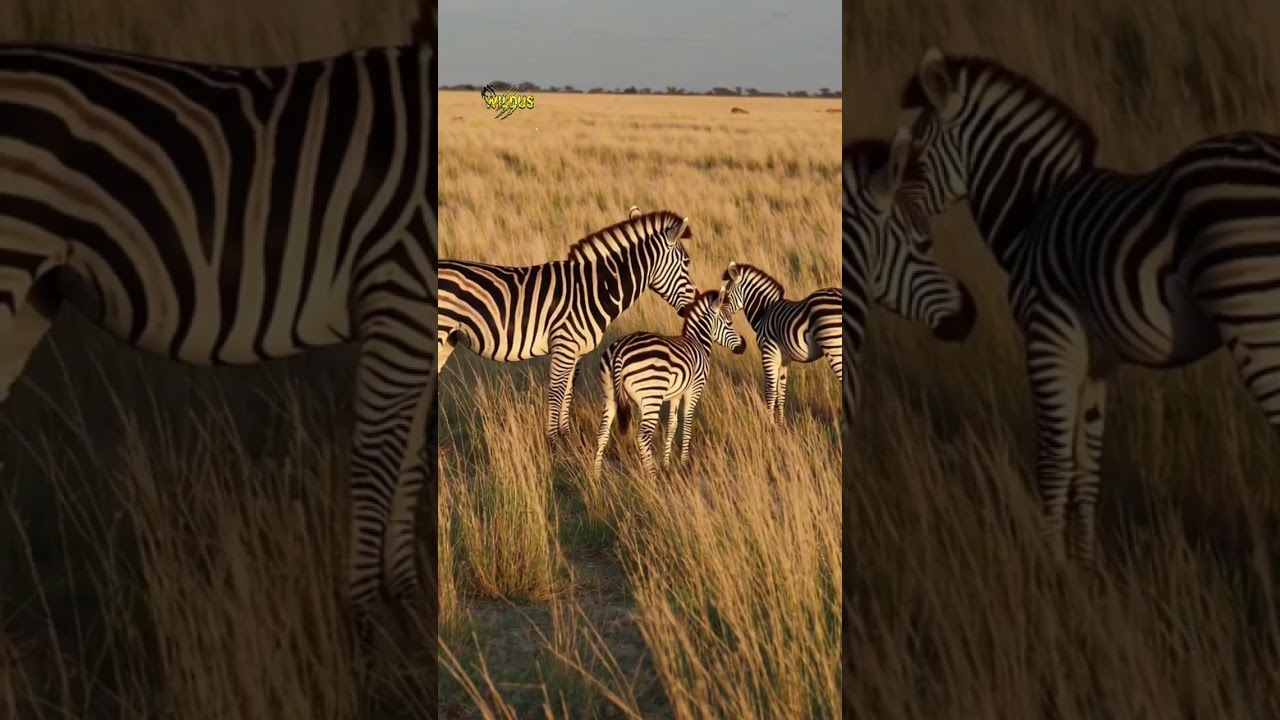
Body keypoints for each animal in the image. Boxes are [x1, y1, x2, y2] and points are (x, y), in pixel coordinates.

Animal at [0, 21, 437, 654]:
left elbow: (409, 464)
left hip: (31, 297)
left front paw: (406, 611)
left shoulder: (418, 318)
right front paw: (367, 632)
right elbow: (377, 464)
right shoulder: (399, 293)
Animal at [439, 209, 697, 442]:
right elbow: (556, 393)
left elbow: (568, 393)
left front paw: (567, 441)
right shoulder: (564, 346)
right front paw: (553, 445)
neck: (595, 290)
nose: (694, 303)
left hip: (448, 340)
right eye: (686, 262)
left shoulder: (576, 351)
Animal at [592, 277, 746, 480]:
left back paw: (596, 475)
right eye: (728, 322)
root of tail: (619, 351)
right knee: (643, 437)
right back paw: (653, 477)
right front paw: (684, 462)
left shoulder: (676, 394)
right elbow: (687, 423)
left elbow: (673, 425)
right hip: (651, 396)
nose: (743, 346)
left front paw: (666, 463)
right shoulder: (693, 389)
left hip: (610, 394)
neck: (697, 341)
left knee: (602, 433)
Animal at [718, 261, 840, 424]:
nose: (716, 315)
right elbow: (781, 393)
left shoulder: (769, 353)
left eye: (726, 296)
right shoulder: (784, 360)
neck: (764, 312)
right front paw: (780, 424)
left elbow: (770, 391)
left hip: (834, 346)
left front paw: (769, 425)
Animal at [898, 48, 1280, 566]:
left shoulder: (1049, 333)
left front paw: (1050, 566)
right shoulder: (1098, 356)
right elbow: (1087, 460)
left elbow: (1054, 457)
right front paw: (1083, 562)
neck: (1034, 211)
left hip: (1256, 320)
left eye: (915, 156)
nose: (888, 216)